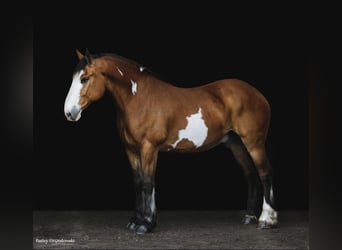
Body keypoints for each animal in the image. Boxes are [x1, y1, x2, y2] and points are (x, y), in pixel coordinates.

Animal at [63, 49, 278, 234]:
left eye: (84, 79)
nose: (69, 113)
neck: (138, 98)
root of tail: (258, 95)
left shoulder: (149, 148)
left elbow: (148, 183)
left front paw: (146, 224)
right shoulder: (131, 149)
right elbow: (138, 183)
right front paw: (136, 221)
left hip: (254, 143)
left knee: (265, 173)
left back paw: (266, 219)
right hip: (236, 144)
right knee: (250, 174)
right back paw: (250, 216)